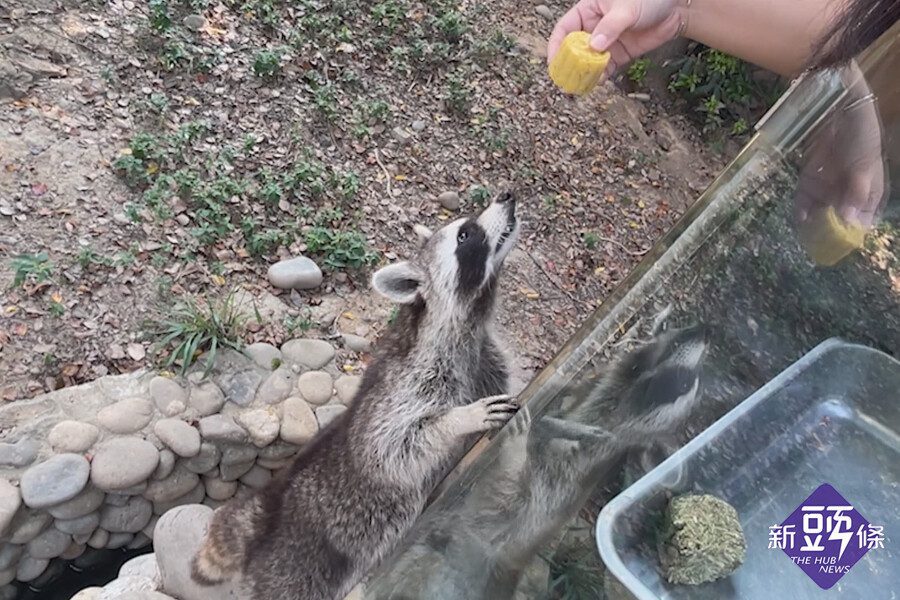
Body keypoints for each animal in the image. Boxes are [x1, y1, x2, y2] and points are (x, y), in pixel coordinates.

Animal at [193, 192, 524, 600]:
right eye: (465, 234)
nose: (507, 196)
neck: (465, 324)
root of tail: (263, 510)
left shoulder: (488, 362)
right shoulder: (404, 384)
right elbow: (390, 447)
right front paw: (459, 419)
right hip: (297, 571)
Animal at [370, 312, 708, 600]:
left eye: (685, 383)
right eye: (677, 337)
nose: (703, 332)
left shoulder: (561, 479)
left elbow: (509, 502)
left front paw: (518, 449)